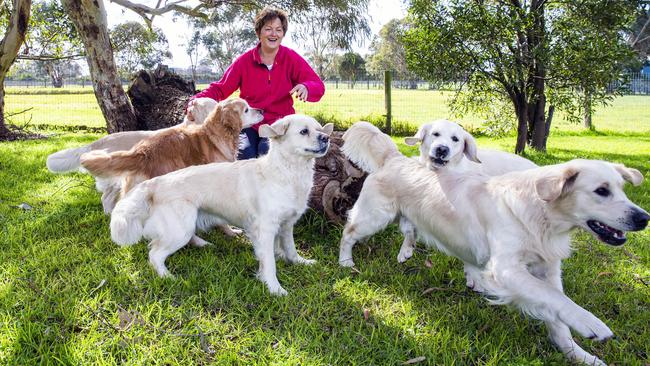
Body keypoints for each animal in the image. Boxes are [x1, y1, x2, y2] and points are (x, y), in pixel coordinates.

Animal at [109, 116, 332, 296]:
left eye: (319, 128)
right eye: (304, 131)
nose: (326, 138)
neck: (287, 171)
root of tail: (155, 183)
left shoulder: (286, 224)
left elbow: (290, 248)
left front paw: (300, 262)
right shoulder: (265, 229)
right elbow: (269, 262)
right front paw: (275, 289)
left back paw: (203, 244)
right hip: (180, 228)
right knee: (155, 254)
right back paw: (168, 277)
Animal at [336, 121, 644, 364]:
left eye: (622, 189)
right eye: (601, 191)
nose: (644, 218)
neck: (538, 214)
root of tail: (395, 157)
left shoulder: (548, 268)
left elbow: (556, 312)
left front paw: (578, 354)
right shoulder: (507, 269)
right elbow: (554, 298)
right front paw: (590, 323)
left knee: (408, 228)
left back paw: (407, 251)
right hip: (374, 216)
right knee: (348, 231)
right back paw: (346, 261)